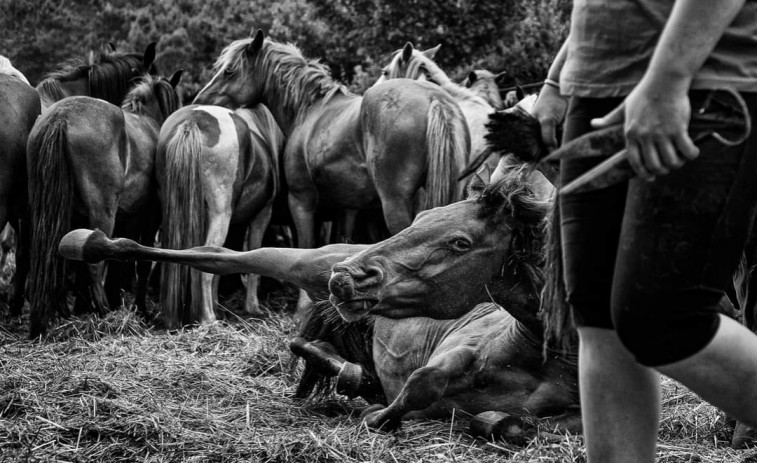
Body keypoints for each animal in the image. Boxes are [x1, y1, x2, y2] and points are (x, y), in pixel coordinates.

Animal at [27, 70, 183, 338]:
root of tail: (60, 117)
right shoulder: (148, 219)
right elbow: (139, 262)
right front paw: (140, 310)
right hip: (102, 214)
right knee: (94, 266)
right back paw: (104, 313)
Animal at [57, 172, 580, 440]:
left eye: (460, 242)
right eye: (424, 215)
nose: (350, 276)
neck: (540, 356)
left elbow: (521, 426)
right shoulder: (457, 348)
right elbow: (423, 383)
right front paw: (379, 415)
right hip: (305, 263)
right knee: (224, 255)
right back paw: (91, 243)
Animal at [157, 104, 284, 330]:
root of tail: (193, 120)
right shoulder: (262, 215)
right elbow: (254, 253)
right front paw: (252, 306)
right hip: (221, 213)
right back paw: (209, 319)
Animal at [192, 29, 470, 246]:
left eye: (229, 71)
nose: (199, 100)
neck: (310, 108)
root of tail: (433, 98)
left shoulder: (301, 202)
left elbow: (305, 249)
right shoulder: (346, 209)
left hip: (395, 204)